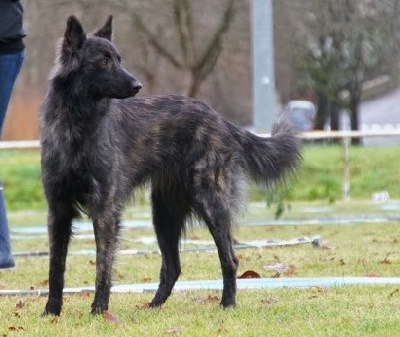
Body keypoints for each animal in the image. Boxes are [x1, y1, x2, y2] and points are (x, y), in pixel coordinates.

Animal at [40, 15, 302, 316]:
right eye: (103, 61)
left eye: (118, 58)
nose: (137, 86)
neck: (77, 124)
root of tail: (218, 118)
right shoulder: (58, 209)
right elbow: (55, 267)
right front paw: (51, 311)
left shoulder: (104, 209)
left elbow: (103, 266)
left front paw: (99, 311)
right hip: (164, 214)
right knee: (173, 266)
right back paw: (153, 306)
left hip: (210, 203)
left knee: (229, 258)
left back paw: (227, 303)